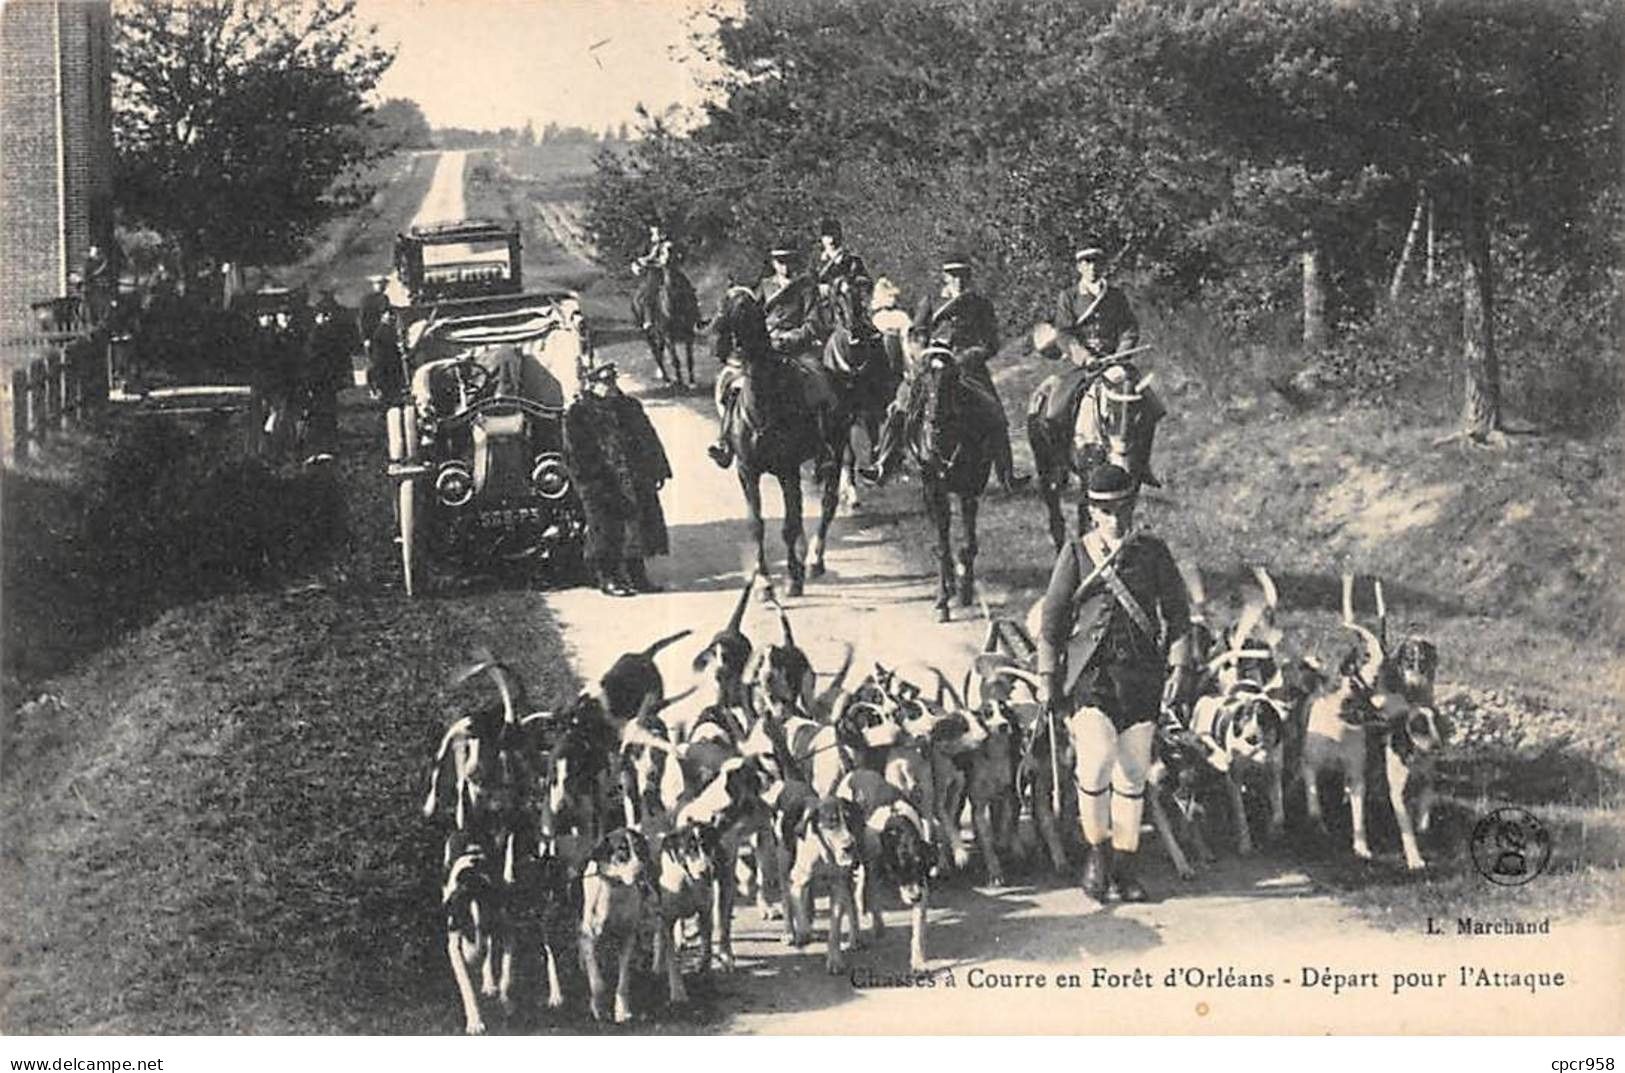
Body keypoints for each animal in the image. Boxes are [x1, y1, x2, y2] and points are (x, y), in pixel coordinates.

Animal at [711, 284, 825, 598]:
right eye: (722, 304)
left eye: (744, 309)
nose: (718, 341)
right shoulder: (747, 471)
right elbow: (756, 526)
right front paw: (763, 583)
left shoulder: (788, 470)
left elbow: (789, 525)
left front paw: (793, 579)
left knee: (827, 505)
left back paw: (814, 561)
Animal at [809, 274, 903, 578]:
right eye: (837, 296)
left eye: (860, 293)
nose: (857, 331)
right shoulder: (843, 417)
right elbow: (848, 455)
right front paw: (848, 489)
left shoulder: (869, 408)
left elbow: (871, 441)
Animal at [910, 347, 994, 624]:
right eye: (924, 379)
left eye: (951, 379)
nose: (935, 420)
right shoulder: (935, 491)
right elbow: (943, 546)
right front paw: (943, 601)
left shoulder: (970, 490)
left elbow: (968, 545)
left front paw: (966, 589)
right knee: (941, 536)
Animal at [1027, 349, 1157, 552]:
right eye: (1108, 416)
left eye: (1140, 417)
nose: (1122, 464)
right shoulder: (1091, 476)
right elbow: (1088, 510)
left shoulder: (1133, 479)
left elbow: (1126, 508)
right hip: (1045, 466)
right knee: (1055, 507)